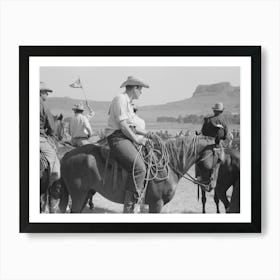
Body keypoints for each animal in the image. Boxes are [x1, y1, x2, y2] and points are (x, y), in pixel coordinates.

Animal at [57, 136, 225, 212]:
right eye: (219, 160)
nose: (211, 186)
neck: (169, 165)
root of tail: (66, 155)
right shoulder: (156, 203)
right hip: (78, 195)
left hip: (86, 194)